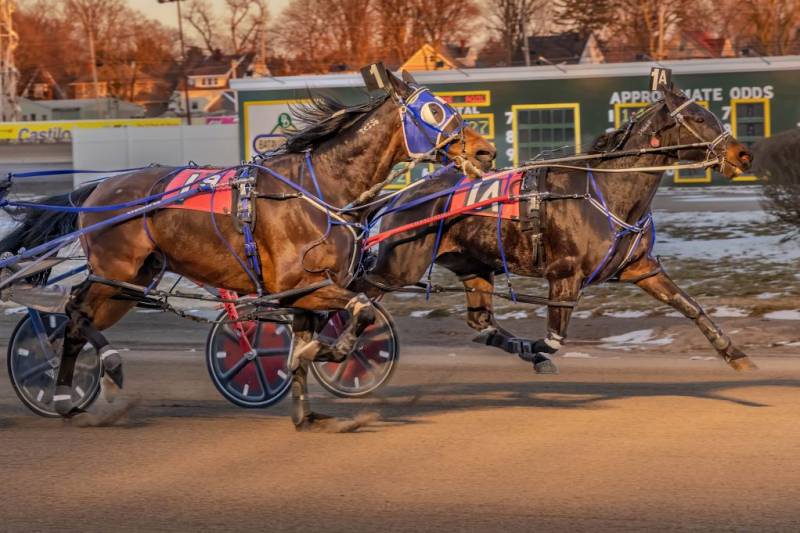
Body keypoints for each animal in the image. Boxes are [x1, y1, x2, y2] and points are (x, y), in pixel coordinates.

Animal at [3, 69, 496, 428]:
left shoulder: (306, 292)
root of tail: (100, 187)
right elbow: (359, 311)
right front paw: (327, 354)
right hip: (114, 270)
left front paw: (307, 410)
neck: (316, 189)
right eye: (434, 109)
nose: (486, 151)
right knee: (74, 313)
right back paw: (79, 379)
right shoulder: (299, 283)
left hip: (131, 281)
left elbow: (309, 341)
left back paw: (81, 389)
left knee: (80, 318)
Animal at [362, 84, 756, 374]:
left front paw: (735, 355)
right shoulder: (564, 275)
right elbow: (553, 339)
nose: (743, 154)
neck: (607, 191)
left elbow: (689, 305)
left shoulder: (641, 267)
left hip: (473, 267)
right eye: (698, 117)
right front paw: (536, 350)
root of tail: (401, 197)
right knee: (359, 295)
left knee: (479, 320)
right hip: (397, 269)